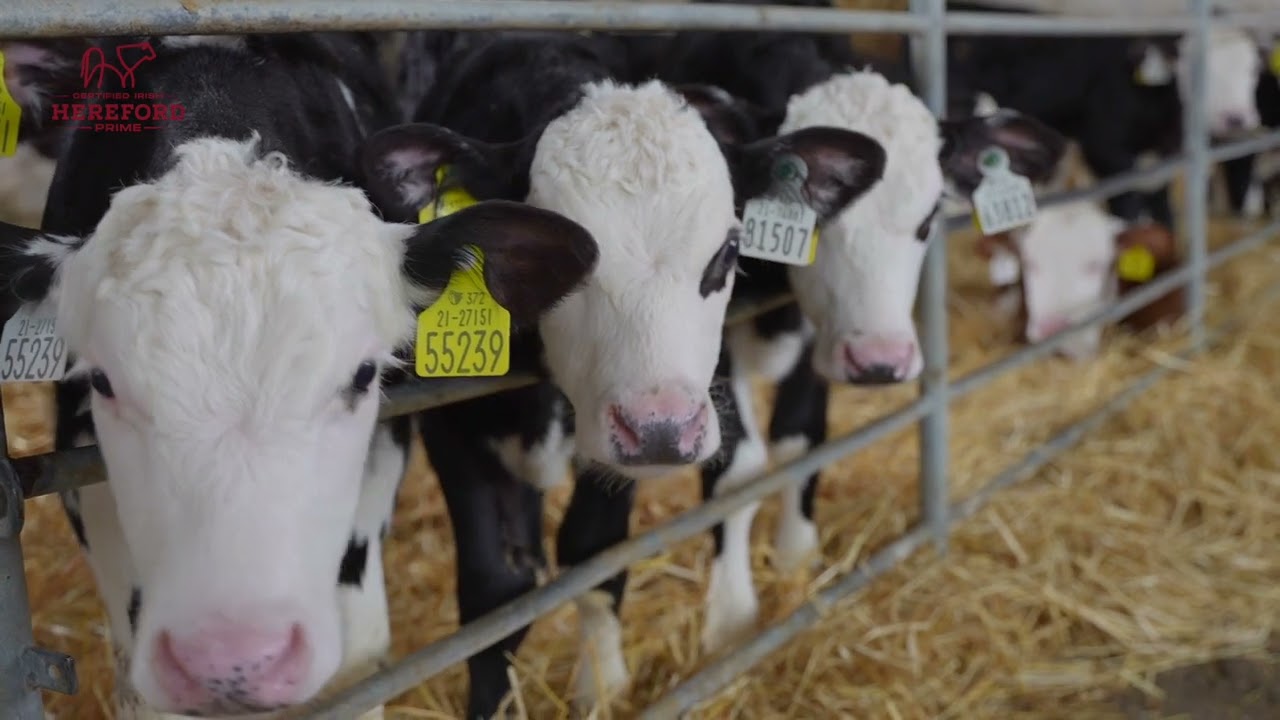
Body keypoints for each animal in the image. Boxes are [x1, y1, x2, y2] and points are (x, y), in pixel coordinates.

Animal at [372, 30, 891, 718]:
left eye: (728, 252)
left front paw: (602, 685)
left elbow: (594, 550)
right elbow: (493, 593)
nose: (662, 429)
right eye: (560, 261)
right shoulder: (451, 427)